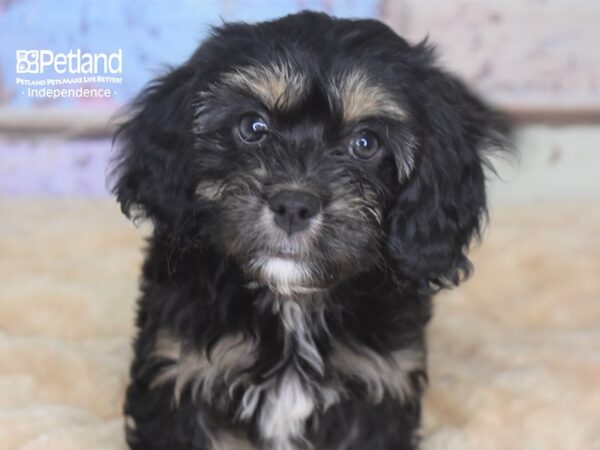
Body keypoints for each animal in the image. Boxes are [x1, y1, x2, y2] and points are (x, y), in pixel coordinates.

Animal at [111, 10, 506, 450]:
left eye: (365, 143)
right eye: (253, 127)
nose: (293, 206)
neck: (293, 303)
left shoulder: (380, 384)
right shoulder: (181, 370)